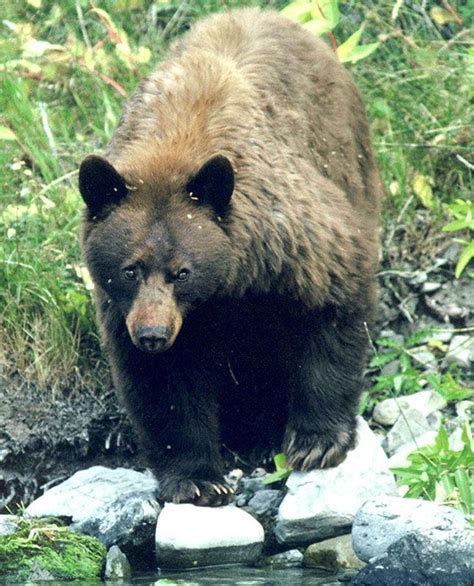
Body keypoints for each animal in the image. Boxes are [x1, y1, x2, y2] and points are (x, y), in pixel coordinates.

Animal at [78, 6, 382, 504]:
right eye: (129, 270)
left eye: (182, 271)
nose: (153, 334)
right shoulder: (129, 312)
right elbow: (165, 385)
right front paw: (197, 477)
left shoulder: (293, 245)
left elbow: (332, 309)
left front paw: (315, 440)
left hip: (352, 158)